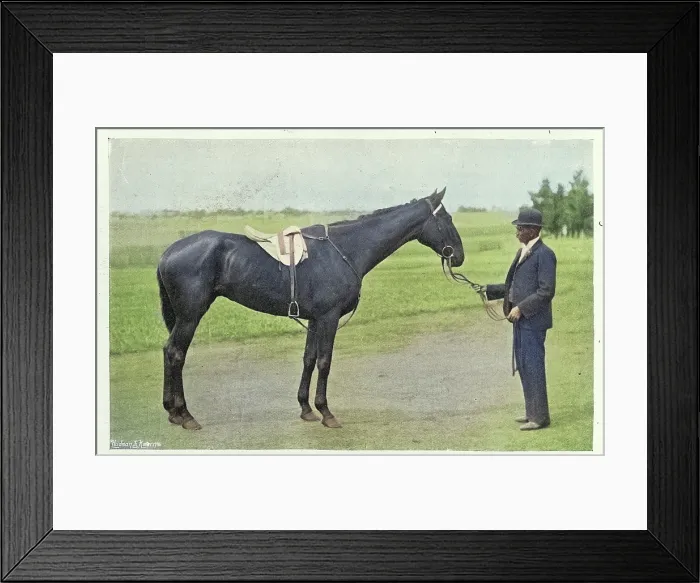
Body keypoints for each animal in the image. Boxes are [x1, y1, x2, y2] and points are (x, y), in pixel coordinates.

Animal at [156, 187, 464, 430]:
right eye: (447, 219)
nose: (459, 256)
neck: (346, 250)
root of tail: (168, 252)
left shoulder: (315, 320)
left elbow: (308, 359)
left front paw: (306, 410)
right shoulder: (328, 318)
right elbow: (325, 361)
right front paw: (327, 413)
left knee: (169, 351)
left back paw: (172, 412)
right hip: (190, 316)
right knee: (176, 354)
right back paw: (185, 415)